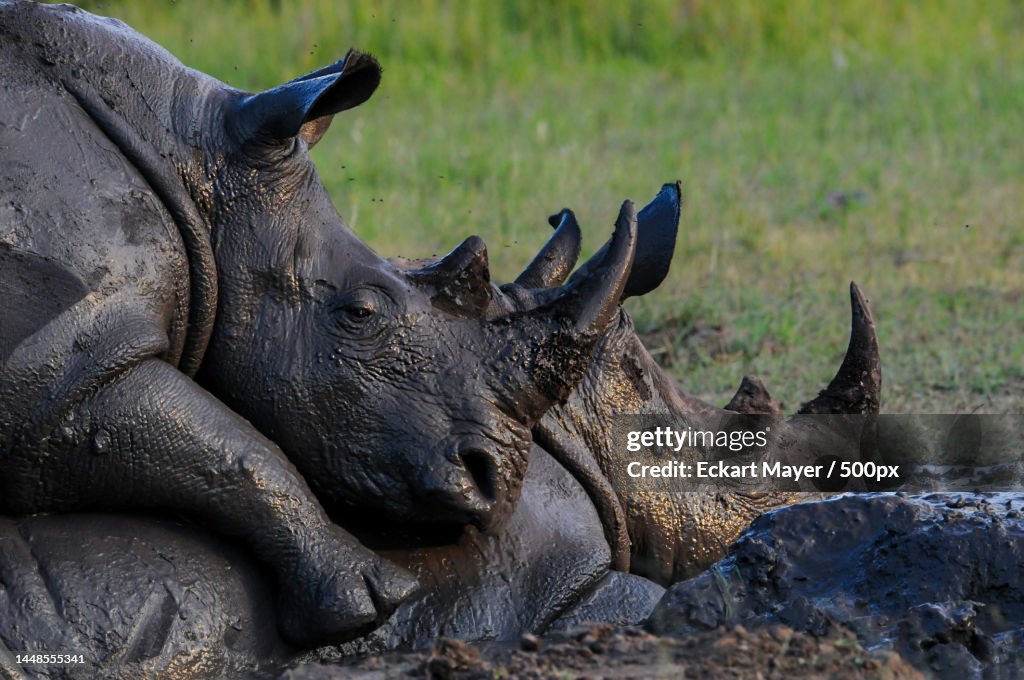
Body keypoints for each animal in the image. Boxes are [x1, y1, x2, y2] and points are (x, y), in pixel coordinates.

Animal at [0, 0, 641, 648]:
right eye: (360, 314)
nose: (496, 480)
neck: (187, 156)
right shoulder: (60, 366)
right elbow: (222, 439)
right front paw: (371, 599)